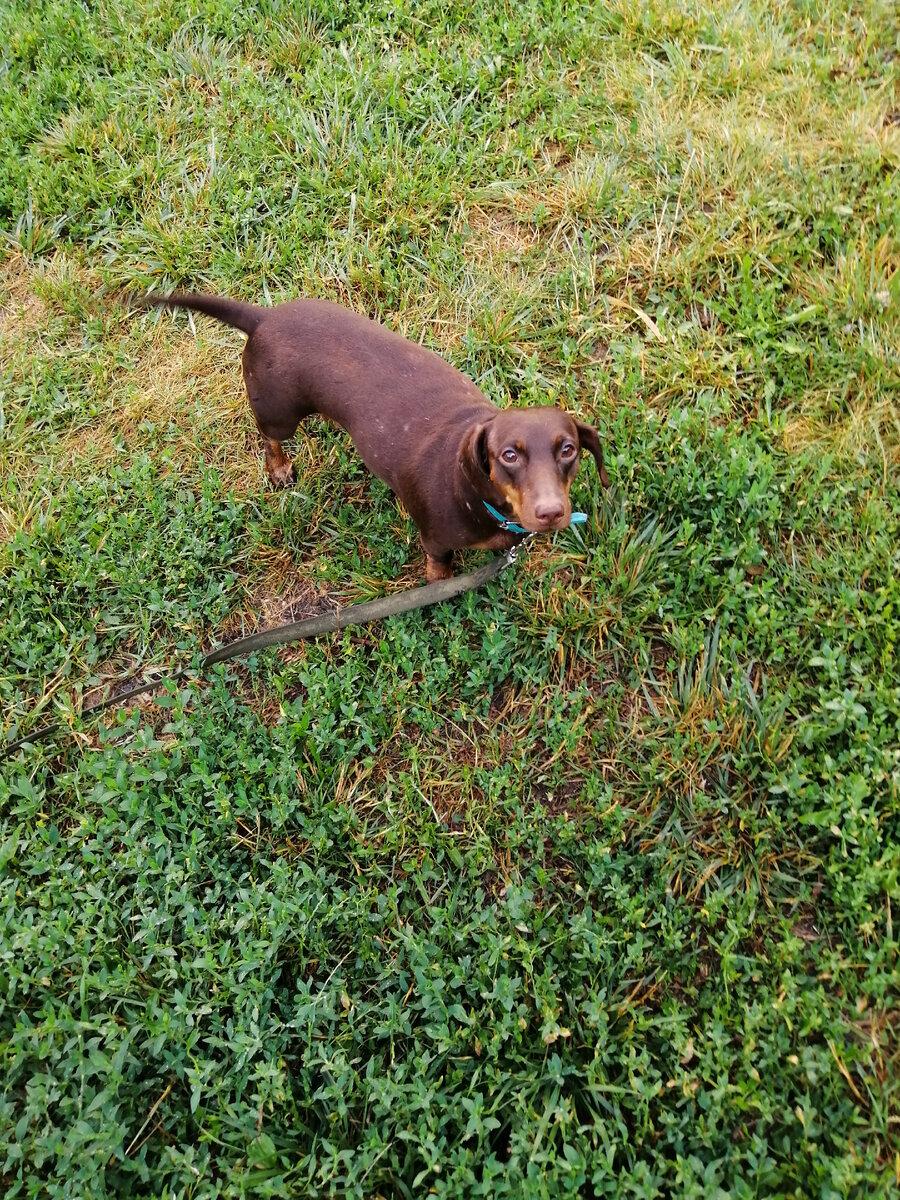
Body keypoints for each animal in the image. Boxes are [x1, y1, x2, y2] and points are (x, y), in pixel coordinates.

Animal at [143, 293, 610, 581]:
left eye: (568, 450)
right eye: (509, 455)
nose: (551, 512)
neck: (481, 500)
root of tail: (263, 316)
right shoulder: (435, 541)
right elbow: (439, 568)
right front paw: (439, 586)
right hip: (279, 412)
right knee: (269, 437)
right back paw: (278, 468)